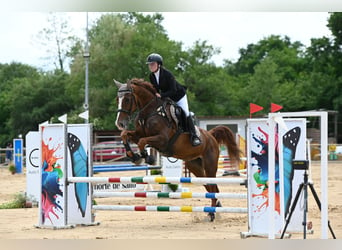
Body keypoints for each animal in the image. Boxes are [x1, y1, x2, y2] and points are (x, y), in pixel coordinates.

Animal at [113, 78, 239, 221]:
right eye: (117, 99)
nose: (119, 123)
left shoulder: (162, 139)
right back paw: (216, 207)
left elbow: (142, 142)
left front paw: (147, 157)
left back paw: (212, 213)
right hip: (194, 166)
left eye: (127, 99)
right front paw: (134, 156)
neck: (150, 112)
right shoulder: (139, 134)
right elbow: (125, 135)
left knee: (212, 186)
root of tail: (211, 135)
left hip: (210, 165)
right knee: (210, 187)